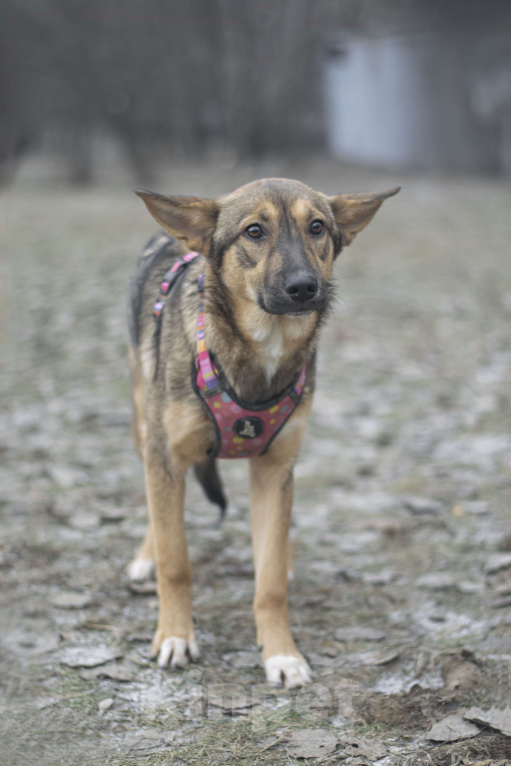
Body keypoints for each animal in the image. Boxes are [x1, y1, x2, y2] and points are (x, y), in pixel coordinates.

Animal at [126, 178, 398, 688]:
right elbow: (176, 561)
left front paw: (281, 654)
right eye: (254, 231)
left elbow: (269, 579)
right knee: (156, 505)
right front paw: (175, 636)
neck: (262, 347)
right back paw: (146, 557)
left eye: (318, 227)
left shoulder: (275, 467)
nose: (304, 287)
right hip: (144, 427)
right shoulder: (166, 454)